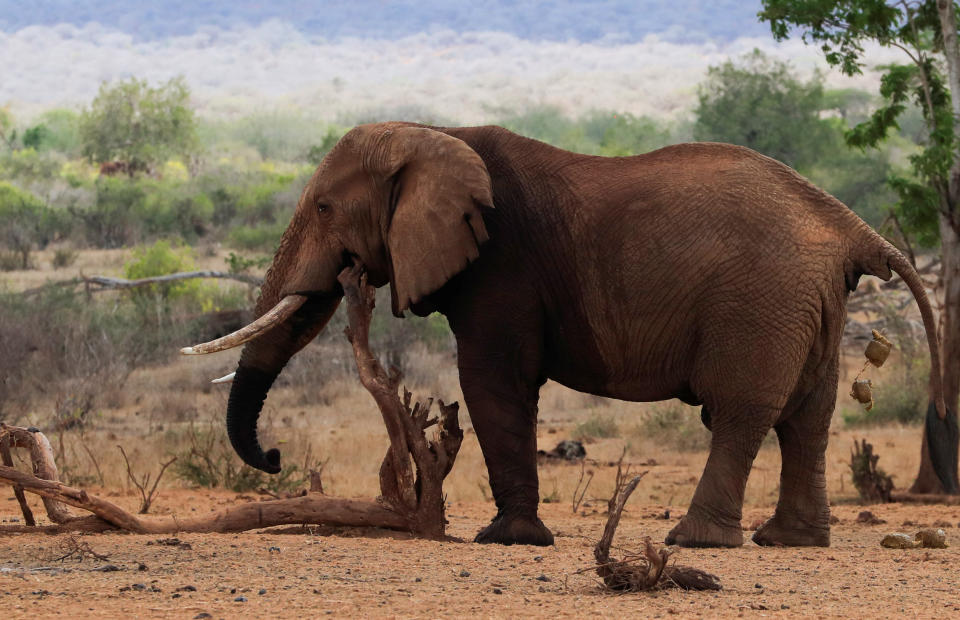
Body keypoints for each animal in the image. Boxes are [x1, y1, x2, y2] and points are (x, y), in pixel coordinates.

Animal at [182, 121, 944, 548]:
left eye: (323, 207)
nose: (275, 457)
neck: (434, 135)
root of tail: (849, 225)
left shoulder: (502, 265)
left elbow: (493, 382)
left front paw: (506, 542)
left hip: (761, 300)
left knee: (741, 413)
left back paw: (699, 544)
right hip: (808, 301)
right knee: (808, 418)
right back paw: (789, 543)